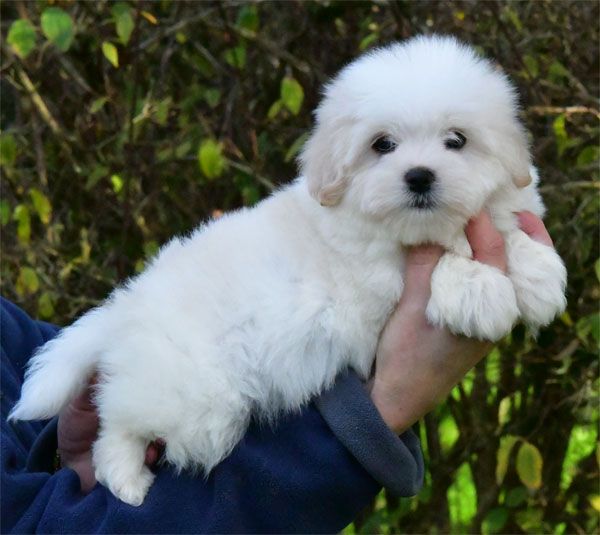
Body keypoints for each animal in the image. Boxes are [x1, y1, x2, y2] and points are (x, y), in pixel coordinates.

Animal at [10, 36, 568, 506]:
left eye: (457, 140)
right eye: (382, 145)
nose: (419, 177)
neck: (412, 225)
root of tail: (126, 307)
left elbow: (510, 228)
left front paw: (539, 277)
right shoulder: (382, 272)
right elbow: (448, 259)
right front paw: (484, 293)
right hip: (198, 401)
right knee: (119, 427)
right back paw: (126, 482)